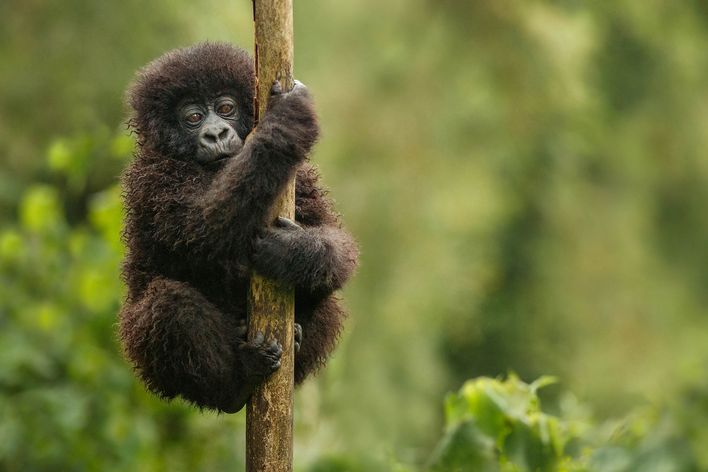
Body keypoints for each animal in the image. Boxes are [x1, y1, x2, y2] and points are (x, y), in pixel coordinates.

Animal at [119, 43, 360, 412]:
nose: (216, 133)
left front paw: (293, 253)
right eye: (193, 117)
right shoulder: (151, 180)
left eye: (226, 108)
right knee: (168, 304)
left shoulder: (302, 178)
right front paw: (285, 123)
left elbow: (337, 244)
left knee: (329, 298)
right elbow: (205, 228)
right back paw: (237, 383)